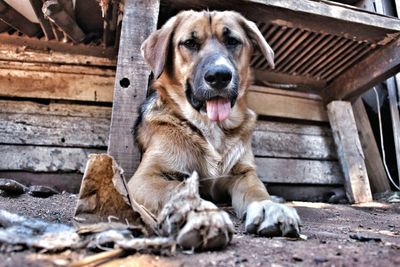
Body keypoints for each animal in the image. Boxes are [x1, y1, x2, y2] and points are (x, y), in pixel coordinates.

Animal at [128, 9, 300, 249]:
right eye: (189, 43)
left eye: (232, 41)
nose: (219, 76)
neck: (212, 127)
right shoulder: (145, 178)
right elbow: (177, 190)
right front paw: (197, 212)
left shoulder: (243, 174)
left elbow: (256, 189)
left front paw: (269, 206)